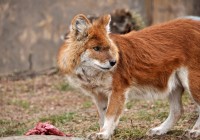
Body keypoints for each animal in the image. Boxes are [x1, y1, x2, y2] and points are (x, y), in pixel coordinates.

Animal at [57, 14, 200, 139]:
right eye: (96, 48)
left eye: (108, 47)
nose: (114, 62)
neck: (94, 75)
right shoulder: (99, 95)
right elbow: (102, 116)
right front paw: (106, 132)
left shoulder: (118, 90)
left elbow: (109, 114)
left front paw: (103, 134)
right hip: (174, 85)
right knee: (178, 110)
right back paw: (159, 130)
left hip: (191, 82)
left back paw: (195, 131)